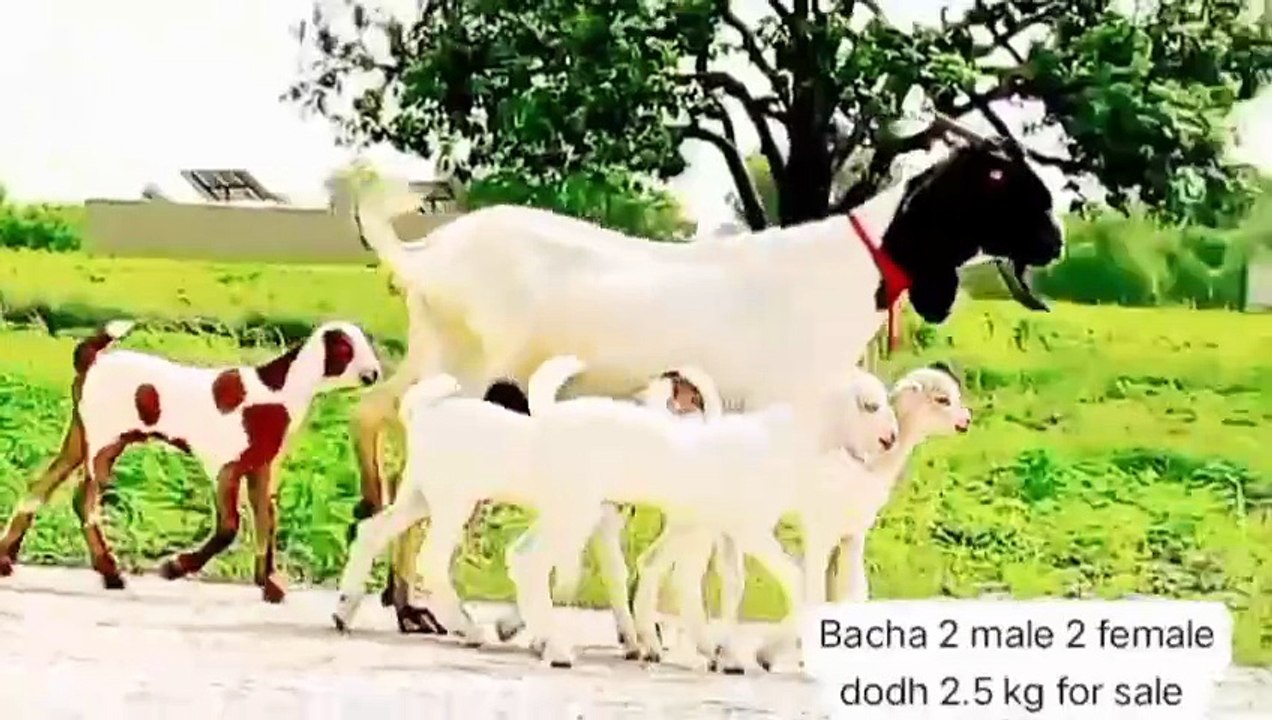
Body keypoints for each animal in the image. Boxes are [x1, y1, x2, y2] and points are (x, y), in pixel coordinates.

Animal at [0, 320, 382, 602]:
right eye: (346, 348)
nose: (375, 374)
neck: (278, 390)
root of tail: (92, 360)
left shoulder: (261, 469)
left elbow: (267, 521)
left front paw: (269, 583)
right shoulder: (226, 467)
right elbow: (229, 527)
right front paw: (175, 567)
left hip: (82, 437)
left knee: (41, 485)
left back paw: (7, 558)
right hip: (104, 442)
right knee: (85, 501)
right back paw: (110, 571)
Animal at [340, 117, 1064, 630]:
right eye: (999, 182)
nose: (1055, 241)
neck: (846, 270)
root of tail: (428, 252)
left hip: (439, 356)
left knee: (373, 415)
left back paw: (391, 589)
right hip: (465, 367)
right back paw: (414, 598)